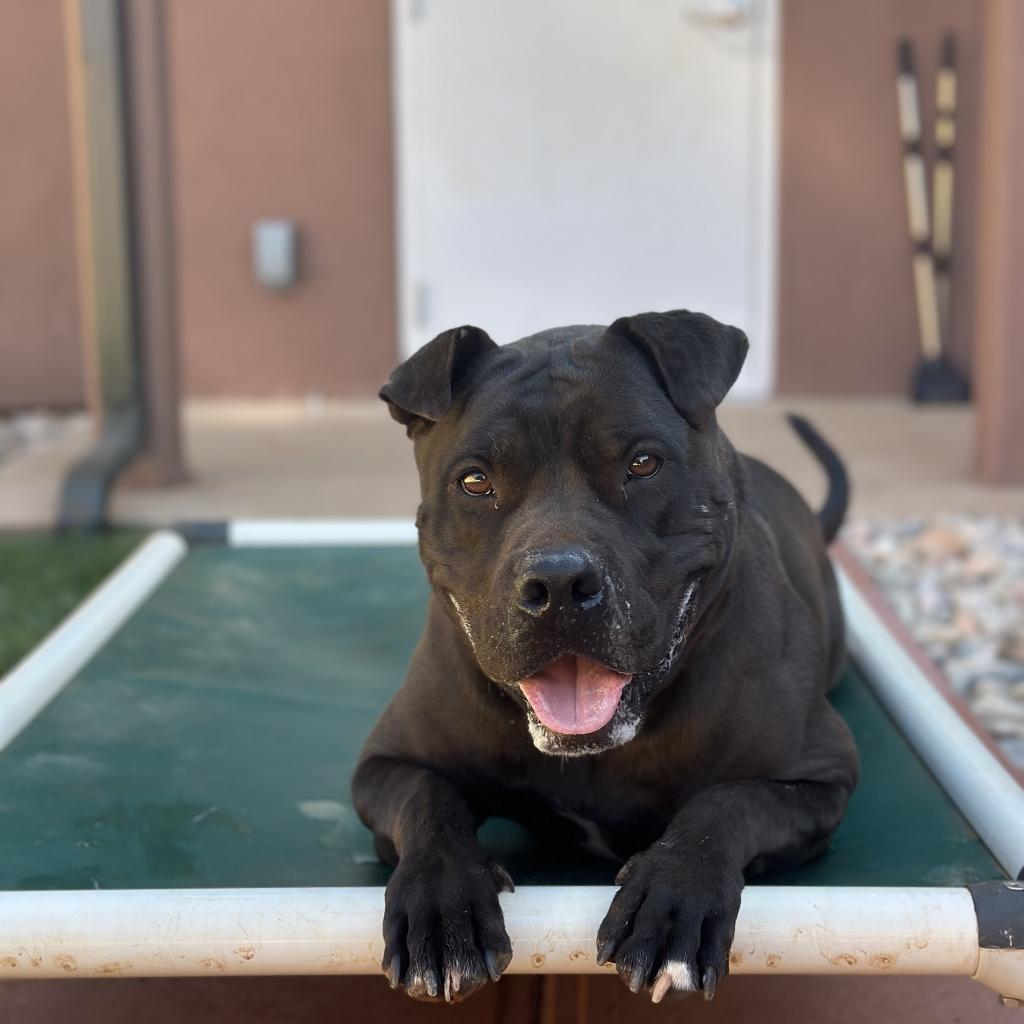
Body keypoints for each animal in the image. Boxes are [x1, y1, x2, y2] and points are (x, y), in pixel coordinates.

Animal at [352, 309, 856, 999]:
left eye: (642, 463)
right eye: (475, 481)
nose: (559, 584)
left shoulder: (821, 779)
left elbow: (727, 802)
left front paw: (673, 901)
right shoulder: (385, 764)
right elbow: (429, 801)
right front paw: (442, 906)